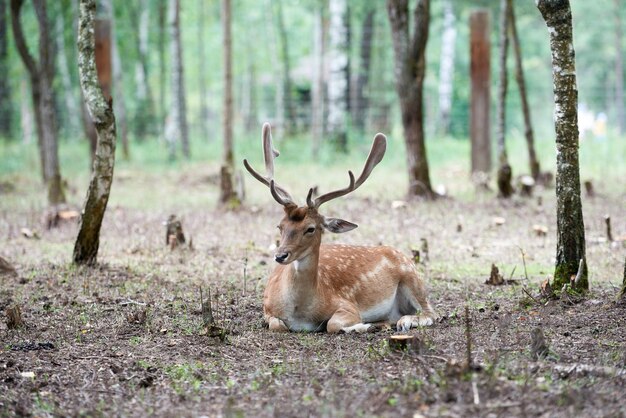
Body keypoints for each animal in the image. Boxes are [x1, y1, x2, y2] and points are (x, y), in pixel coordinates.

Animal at [241, 123, 436, 334]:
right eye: (280, 226)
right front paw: (373, 325)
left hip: (412, 277)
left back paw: (403, 322)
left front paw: (367, 325)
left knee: (431, 312)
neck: (300, 313)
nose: (280, 256)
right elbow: (278, 325)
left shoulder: (348, 305)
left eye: (310, 228)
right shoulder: (267, 308)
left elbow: (331, 325)